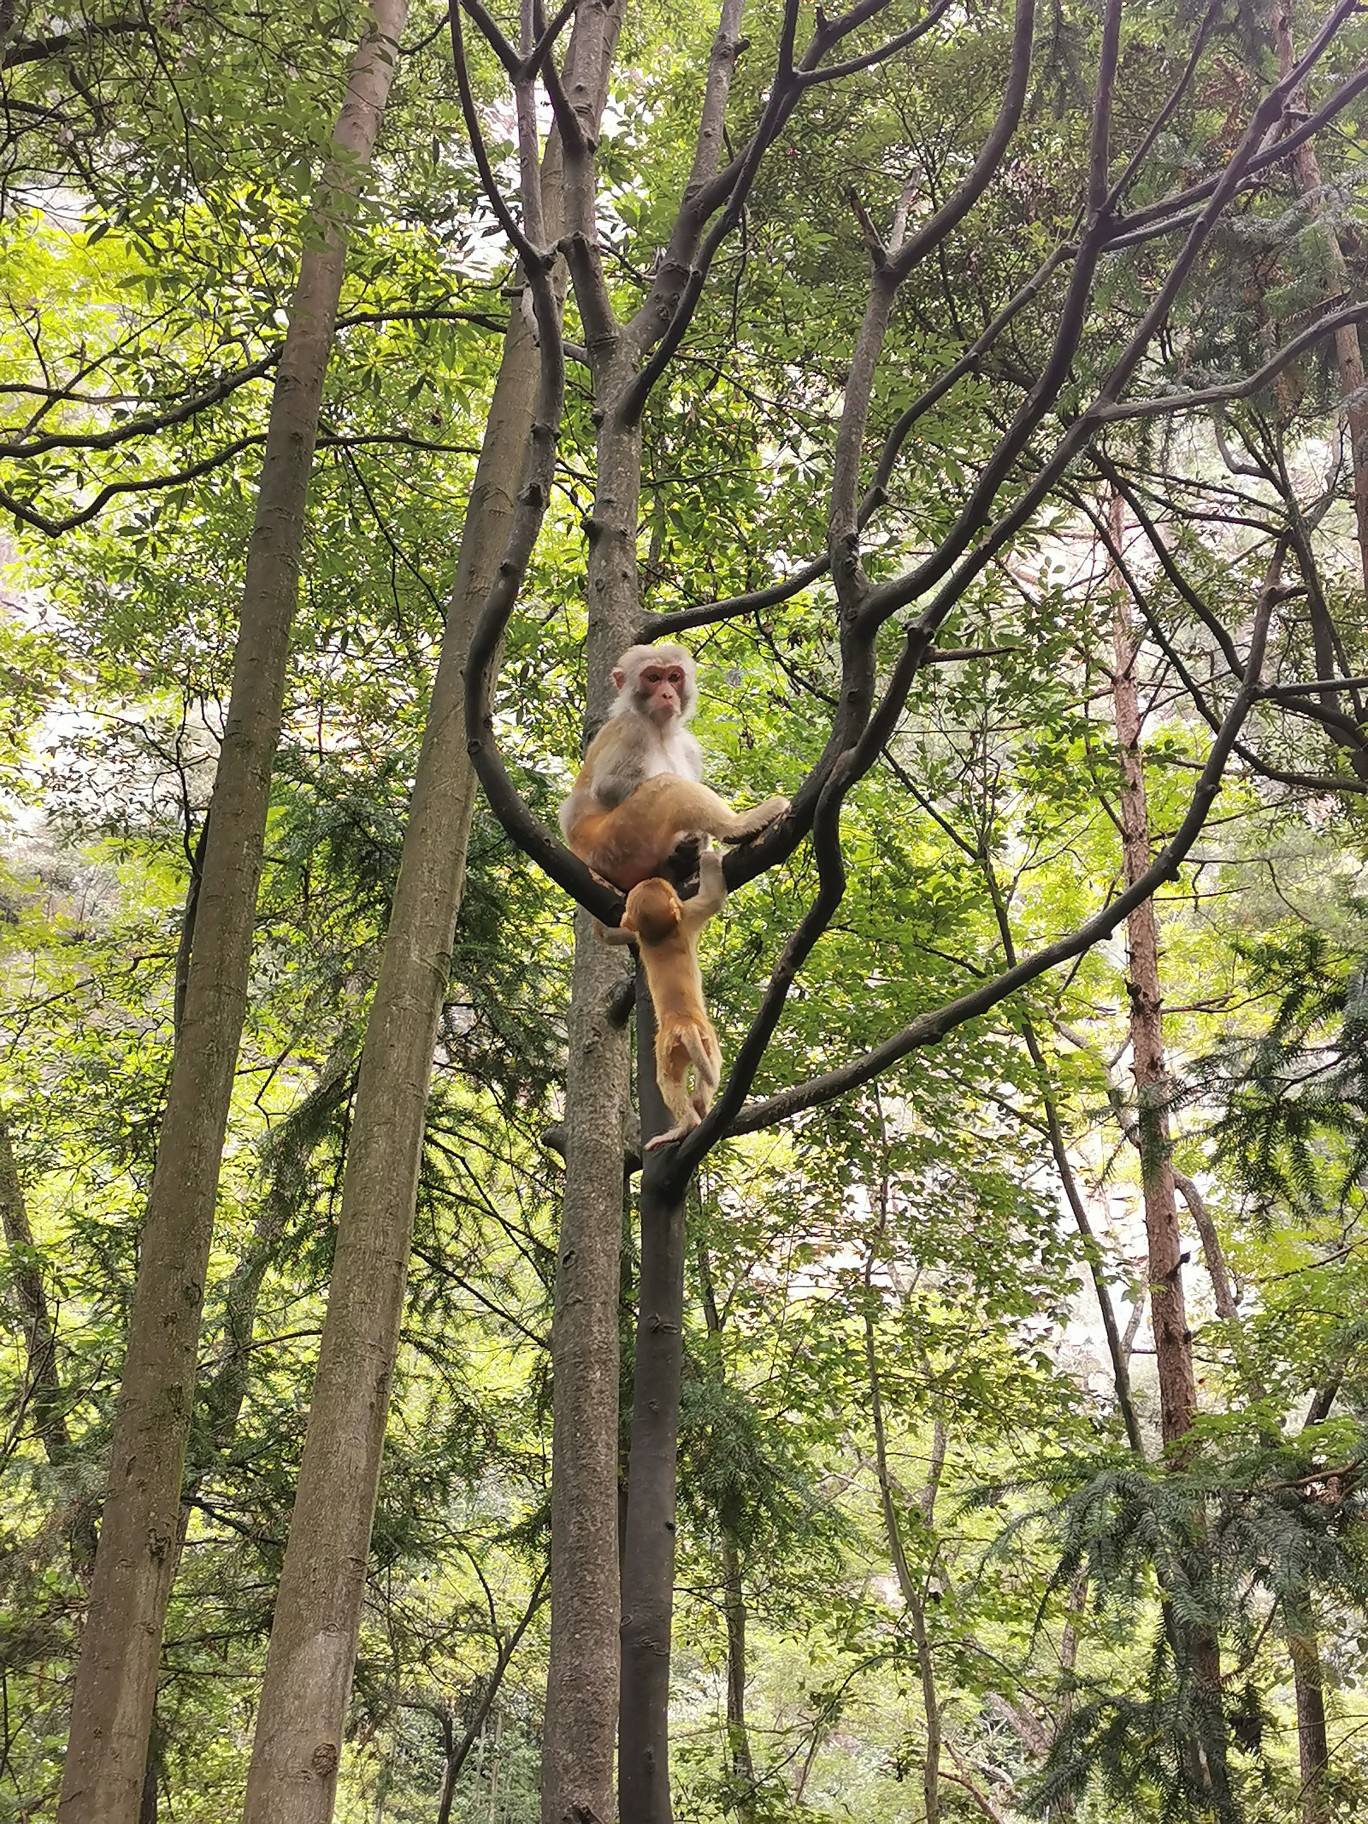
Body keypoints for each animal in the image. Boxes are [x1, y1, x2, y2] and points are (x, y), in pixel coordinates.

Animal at [558, 645, 791, 893]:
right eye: (653, 678)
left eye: (674, 677)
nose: (667, 695)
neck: (659, 728)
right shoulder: (632, 727)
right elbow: (608, 788)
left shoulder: (690, 748)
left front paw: (691, 848)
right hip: (612, 845)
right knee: (667, 784)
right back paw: (738, 826)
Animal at [598, 835, 729, 1145]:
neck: (659, 931)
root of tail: (683, 1024)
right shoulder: (688, 917)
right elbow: (713, 899)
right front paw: (711, 857)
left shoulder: (640, 933)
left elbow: (613, 935)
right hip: (702, 1037)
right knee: (703, 1069)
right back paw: (691, 1120)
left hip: (671, 1050)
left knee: (673, 1080)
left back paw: (693, 1113)